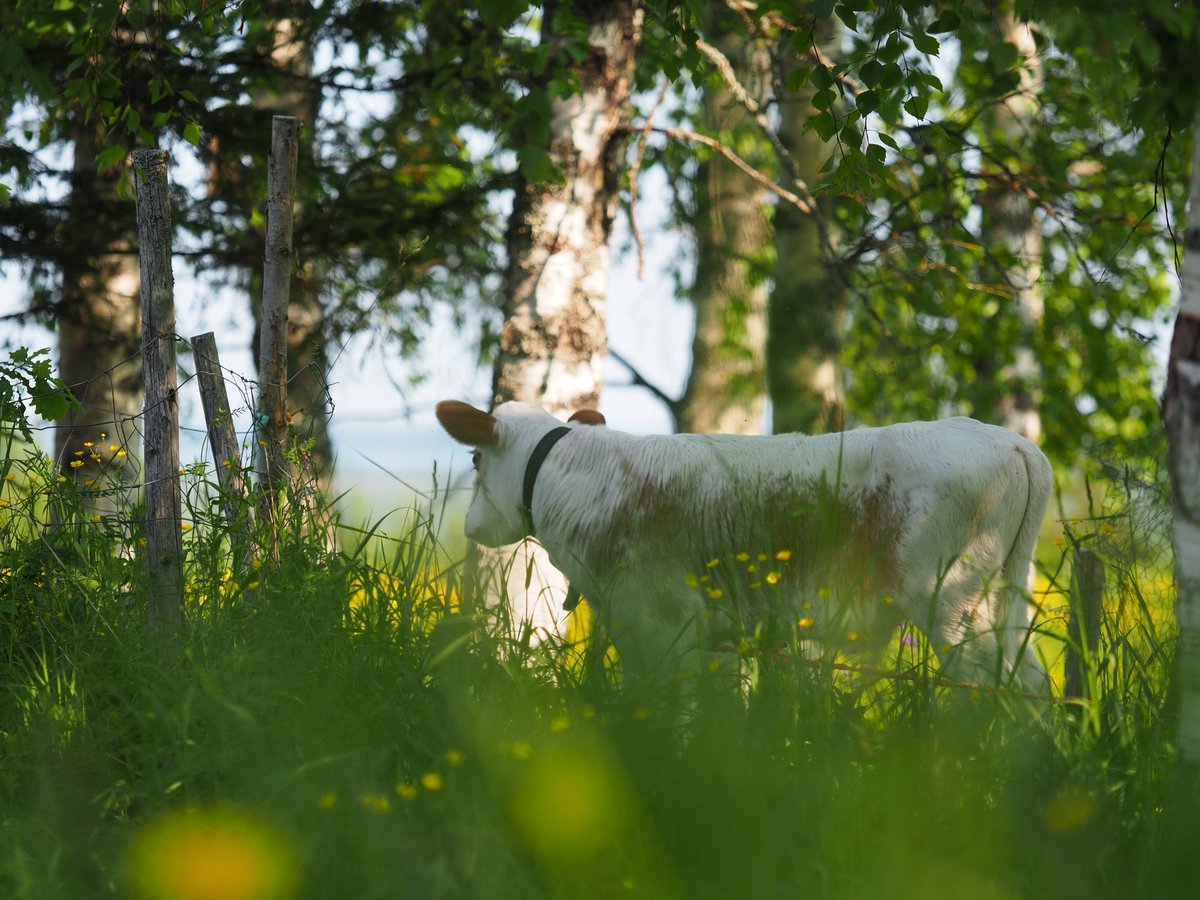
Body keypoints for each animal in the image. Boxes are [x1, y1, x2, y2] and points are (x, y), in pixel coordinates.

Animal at [439, 400, 1051, 691]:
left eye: (474, 457)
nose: (471, 527)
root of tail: (1008, 439)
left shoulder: (660, 619)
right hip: (997, 598)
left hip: (948, 599)